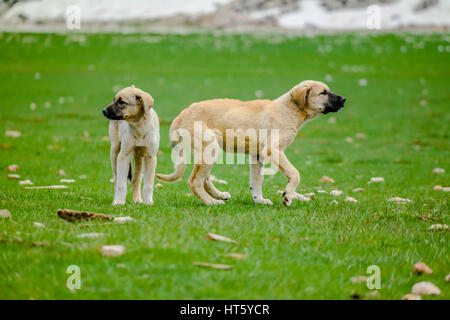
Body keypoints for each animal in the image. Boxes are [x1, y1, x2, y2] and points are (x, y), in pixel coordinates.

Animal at [156, 79, 346, 206]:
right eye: (323, 92)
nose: (344, 99)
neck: (289, 109)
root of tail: (182, 115)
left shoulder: (257, 156)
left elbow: (256, 181)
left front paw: (259, 200)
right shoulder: (272, 150)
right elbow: (295, 173)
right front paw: (287, 196)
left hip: (207, 150)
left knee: (204, 178)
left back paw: (219, 195)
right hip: (209, 148)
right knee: (194, 181)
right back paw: (211, 202)